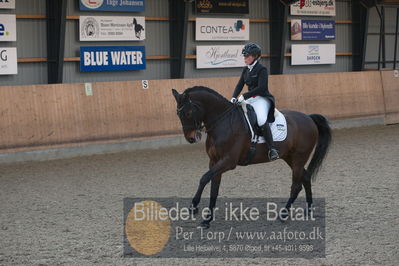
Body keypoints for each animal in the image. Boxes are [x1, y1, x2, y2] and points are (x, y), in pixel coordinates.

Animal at [172, 86, 332, 228]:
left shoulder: (228, 162)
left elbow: (204, 178)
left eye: (188, 112)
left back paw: (283, 215)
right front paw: (207, 220)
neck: (223, 122)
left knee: (296, 185)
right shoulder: (214, 161)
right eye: (178, 114)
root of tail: (308, 118)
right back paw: (308, 211)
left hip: (299, 158)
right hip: (290, 158)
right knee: (305, 178)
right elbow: (213, 189)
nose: (191, 138)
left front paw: (193, 206)